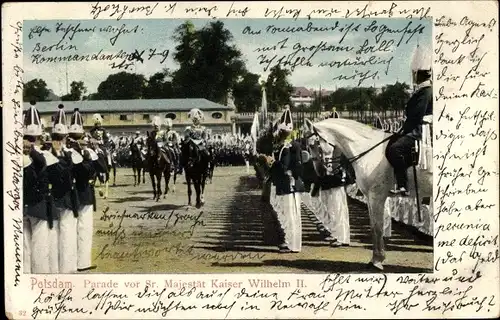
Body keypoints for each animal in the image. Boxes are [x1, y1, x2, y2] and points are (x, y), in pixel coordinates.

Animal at [306, 117, 432, 270]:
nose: (320, 172)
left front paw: (377, 261)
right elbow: (373, 227)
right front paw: (375, 259)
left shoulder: (377, 197)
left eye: (313, 145)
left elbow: (377, 228)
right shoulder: (370, 198)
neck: (368, 150)